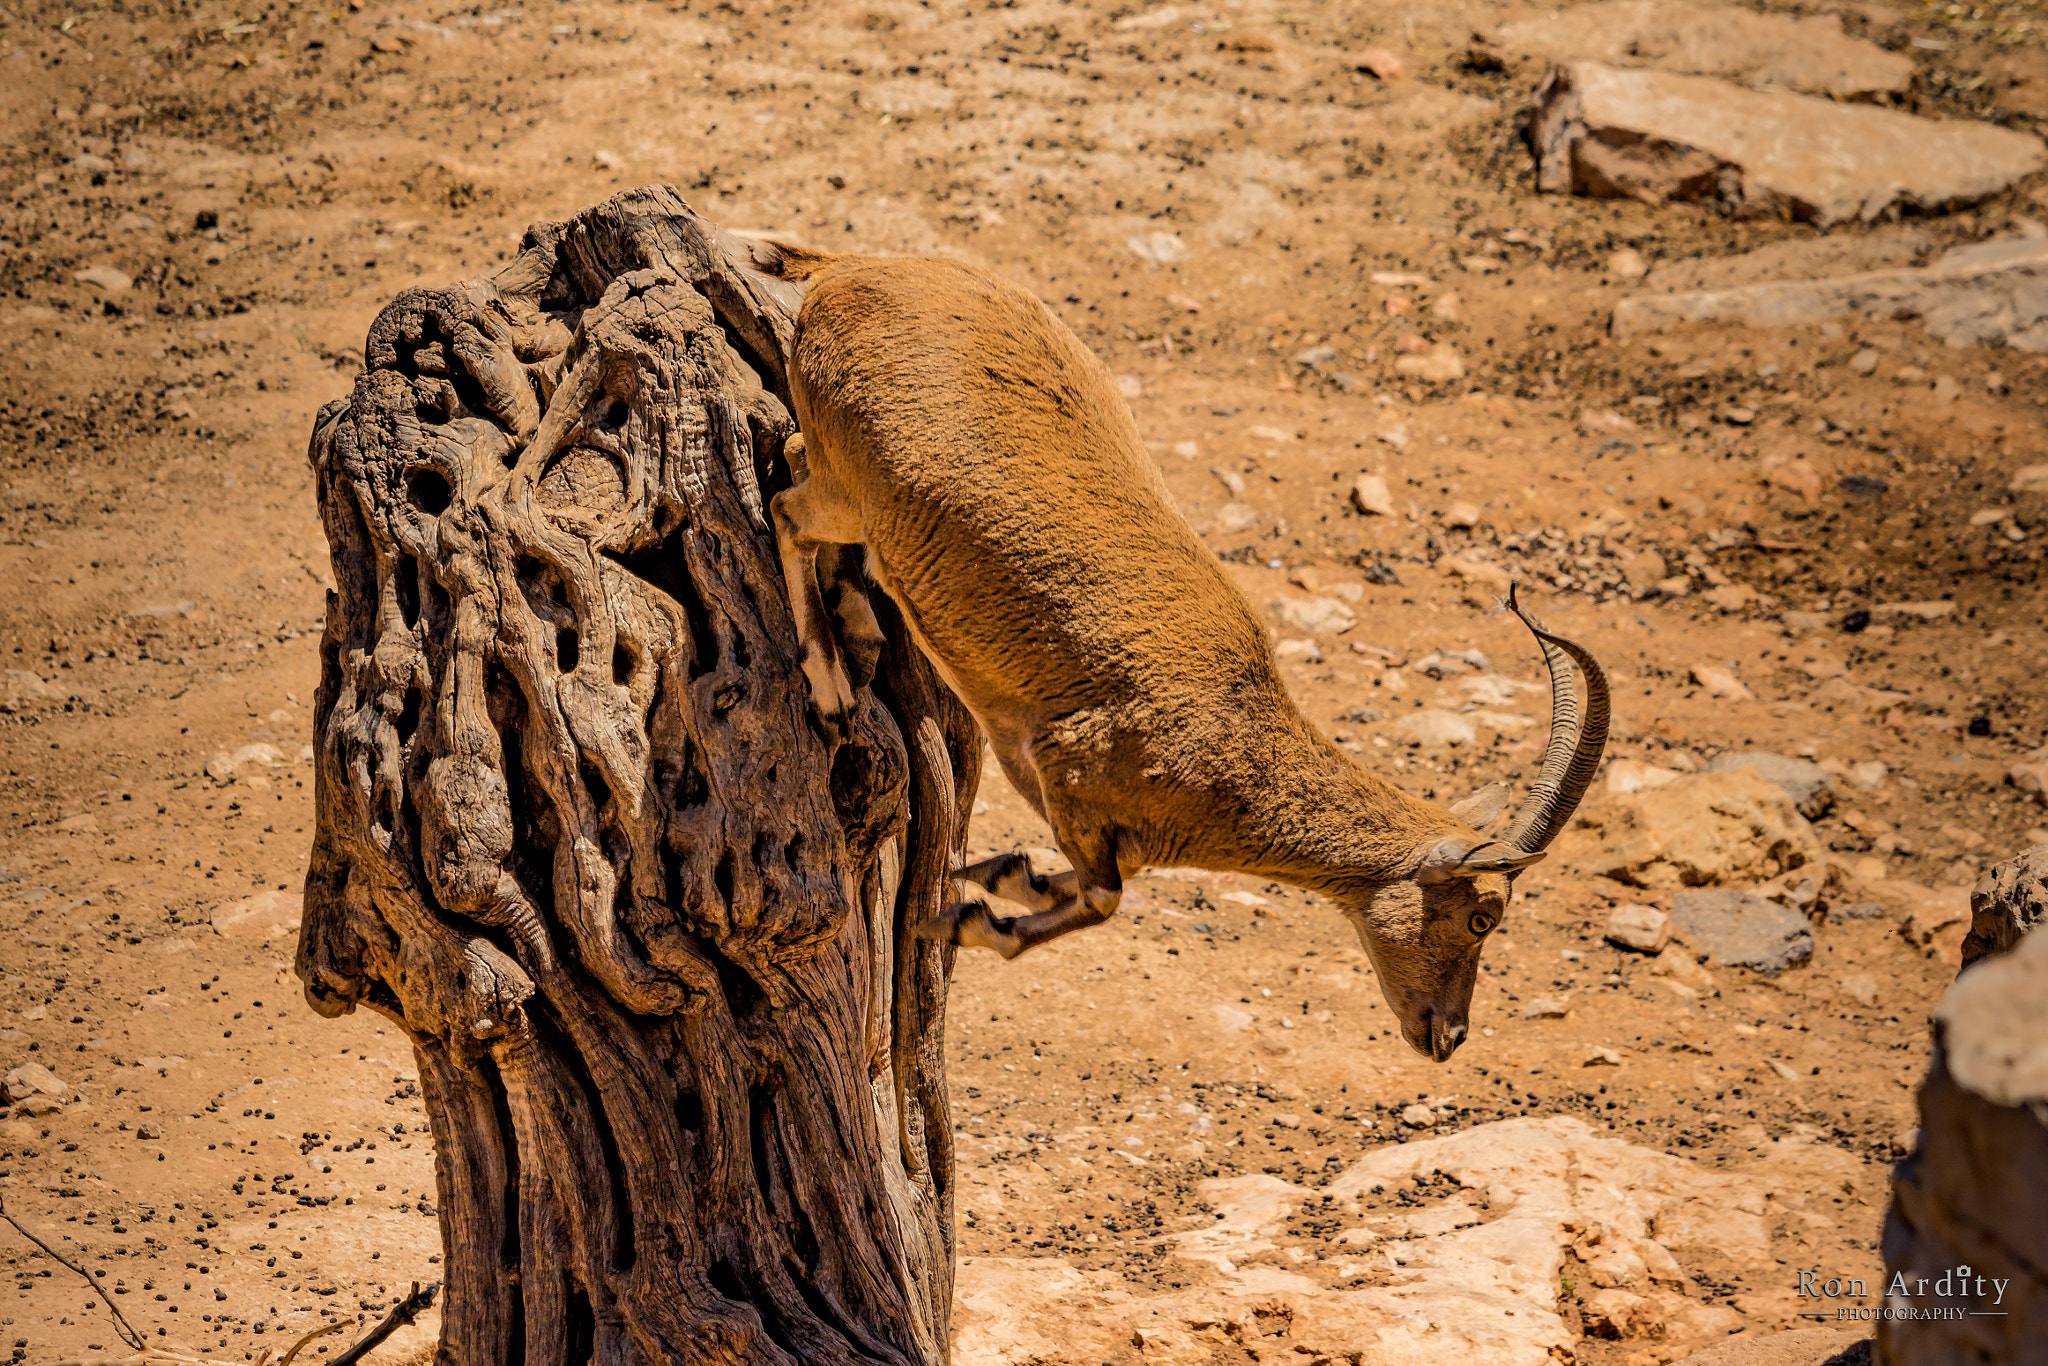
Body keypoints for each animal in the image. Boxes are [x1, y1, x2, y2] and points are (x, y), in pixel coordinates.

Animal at [756, 245, 1609, 1062]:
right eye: (1482, 918)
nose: (1447, 1035)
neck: (1235, 749)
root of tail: (846, 273)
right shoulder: (1069, 767)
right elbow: (1104, 898)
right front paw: (967, 918)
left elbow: (1090, 884)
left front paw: (998, 874)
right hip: (850, 486)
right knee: (789, 509)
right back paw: (831, 683)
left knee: (795, 464)